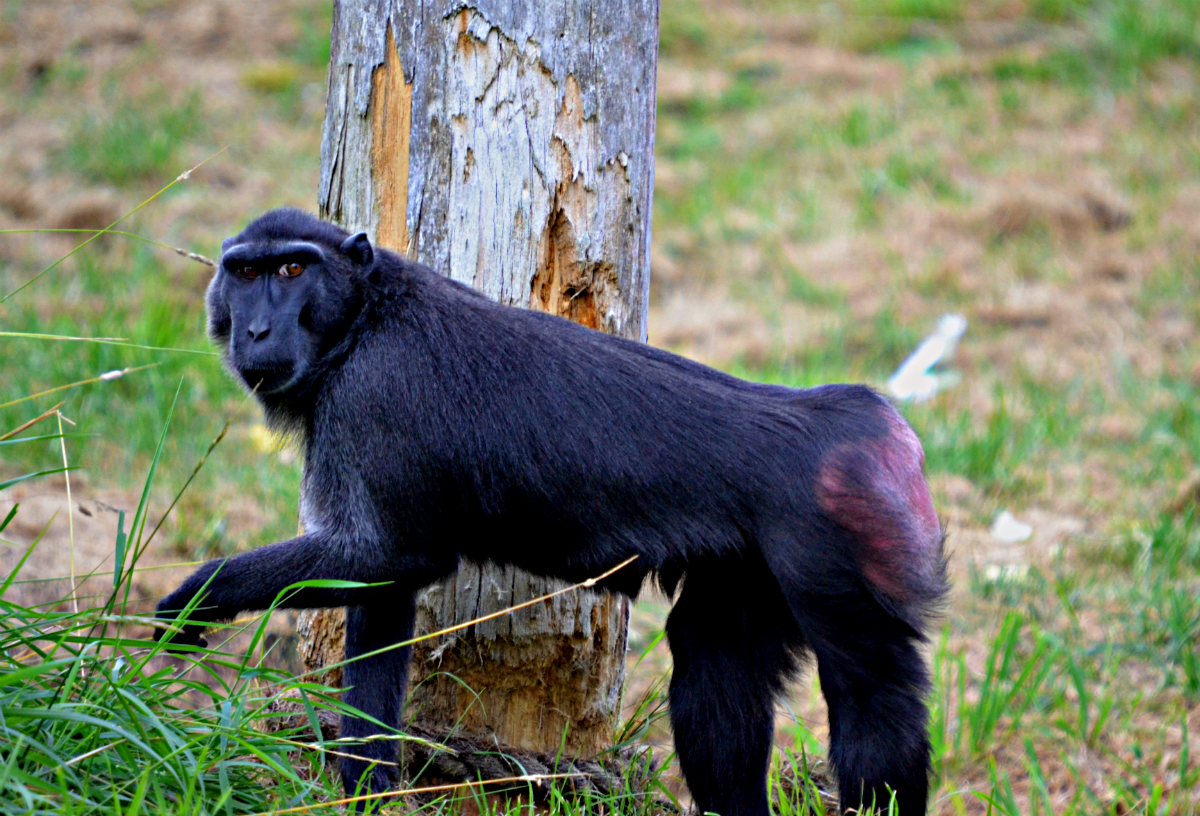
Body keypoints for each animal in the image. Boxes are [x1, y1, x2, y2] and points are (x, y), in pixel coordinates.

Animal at [155, 208, 946, 816]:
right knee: (714, 676)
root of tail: (844, 419)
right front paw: (364, 794)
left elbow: (391, 557)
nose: (256, 333)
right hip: (750, 566)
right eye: (245, 274)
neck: (366, 314)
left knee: (872, 704)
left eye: (292, 271)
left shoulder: (372, 396)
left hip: (840, 530)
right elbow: (381, 594)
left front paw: (197, 596)